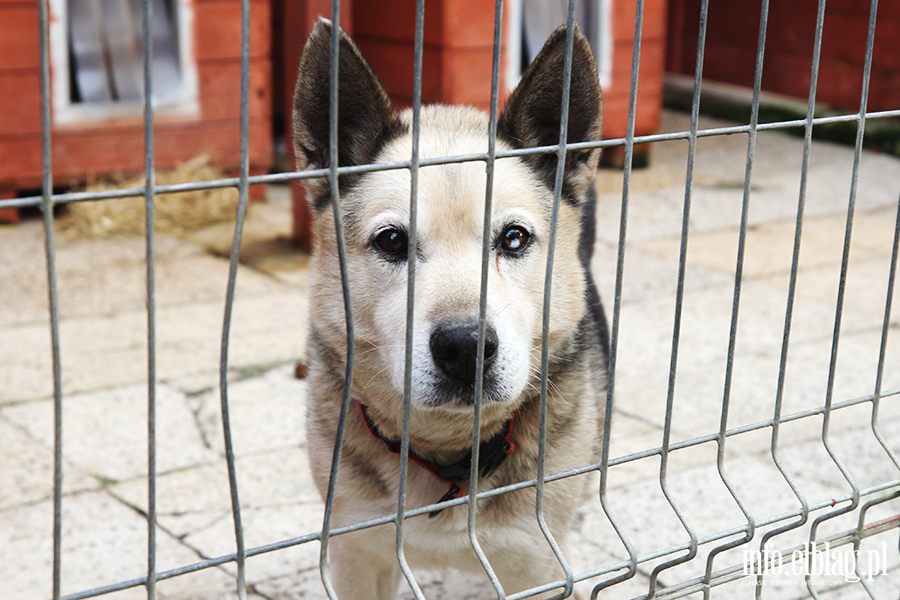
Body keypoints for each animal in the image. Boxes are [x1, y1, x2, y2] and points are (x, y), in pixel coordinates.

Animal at [292, 18, 608, 600]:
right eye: (392, 241)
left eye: (513, 238)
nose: (465, 347)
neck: (446, 453)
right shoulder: (356, 554)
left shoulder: (541, 564)